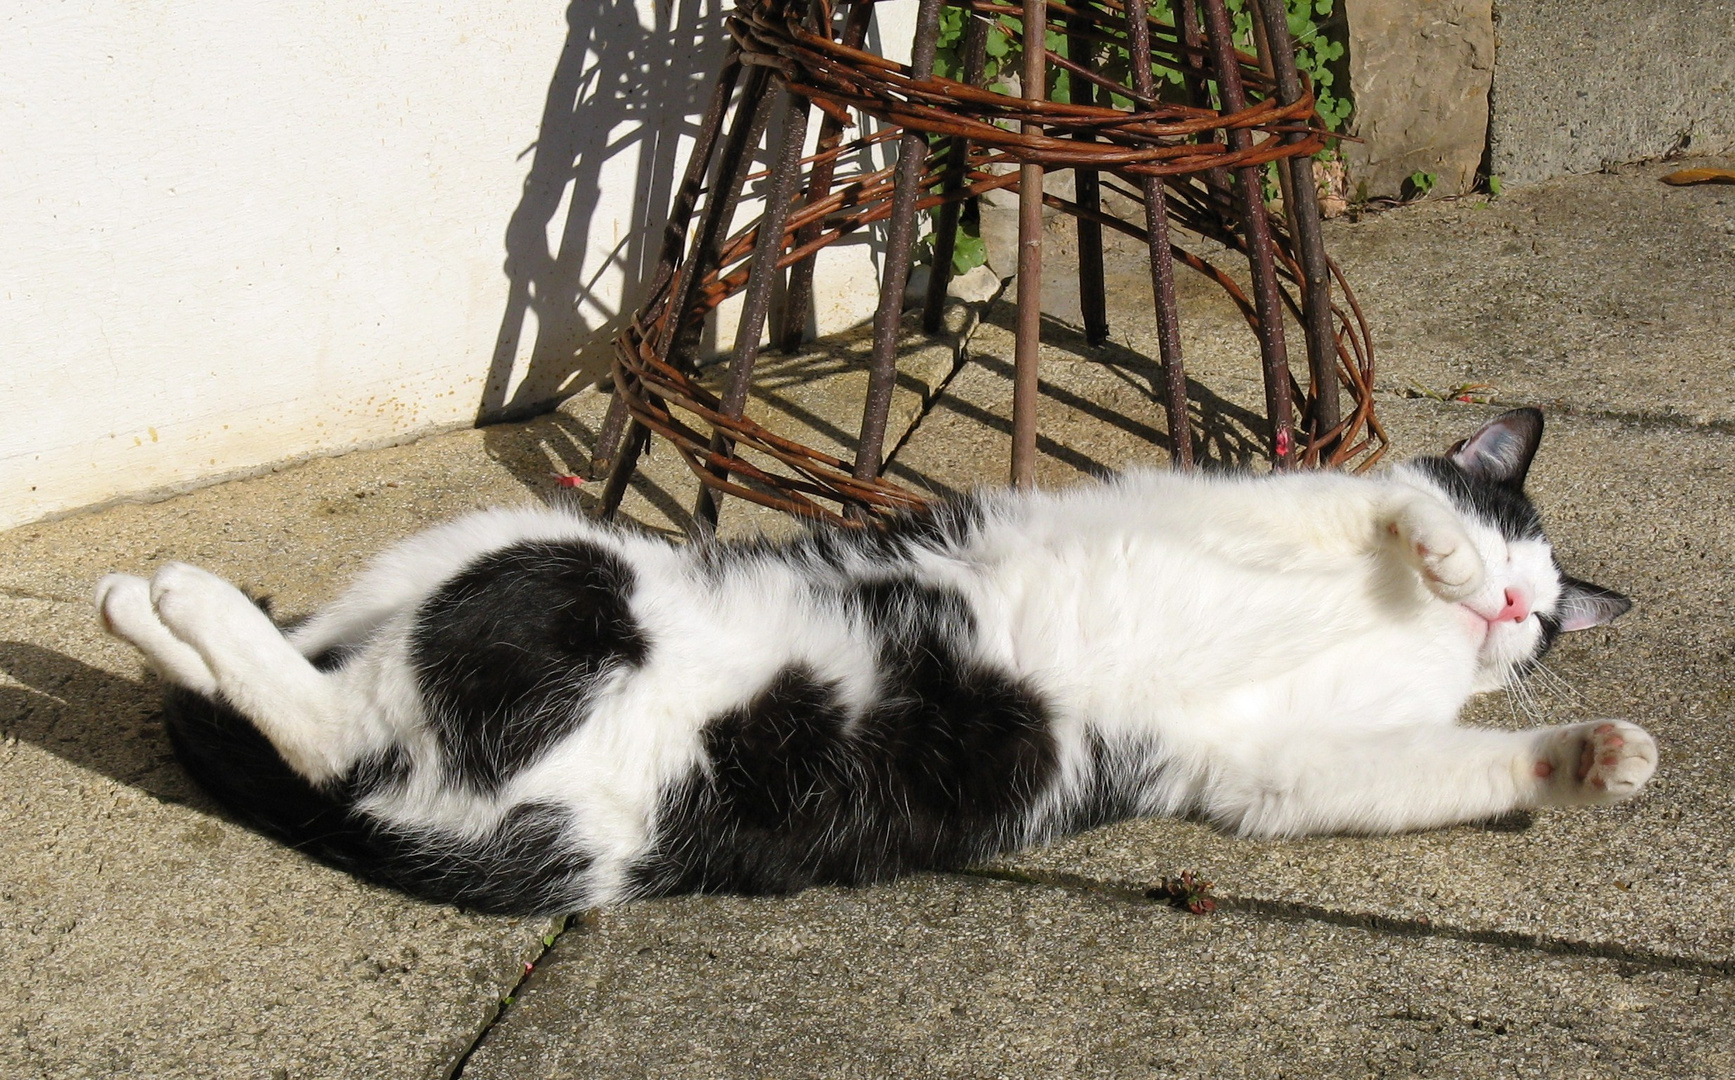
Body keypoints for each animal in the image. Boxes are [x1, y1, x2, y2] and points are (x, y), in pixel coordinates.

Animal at [94, 409, 1651, 916]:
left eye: (1540, 620)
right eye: (1507, 553)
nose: (1508, 611)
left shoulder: (1278, 762)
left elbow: (1421, 769)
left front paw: (1589, 757)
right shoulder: (1256, 504)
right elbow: (1375, 500)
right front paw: (1434, 557)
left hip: (526, 715)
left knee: (315, 720)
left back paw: (148, 607)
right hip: (546, 560)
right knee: (314, 694)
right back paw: (158, 593)